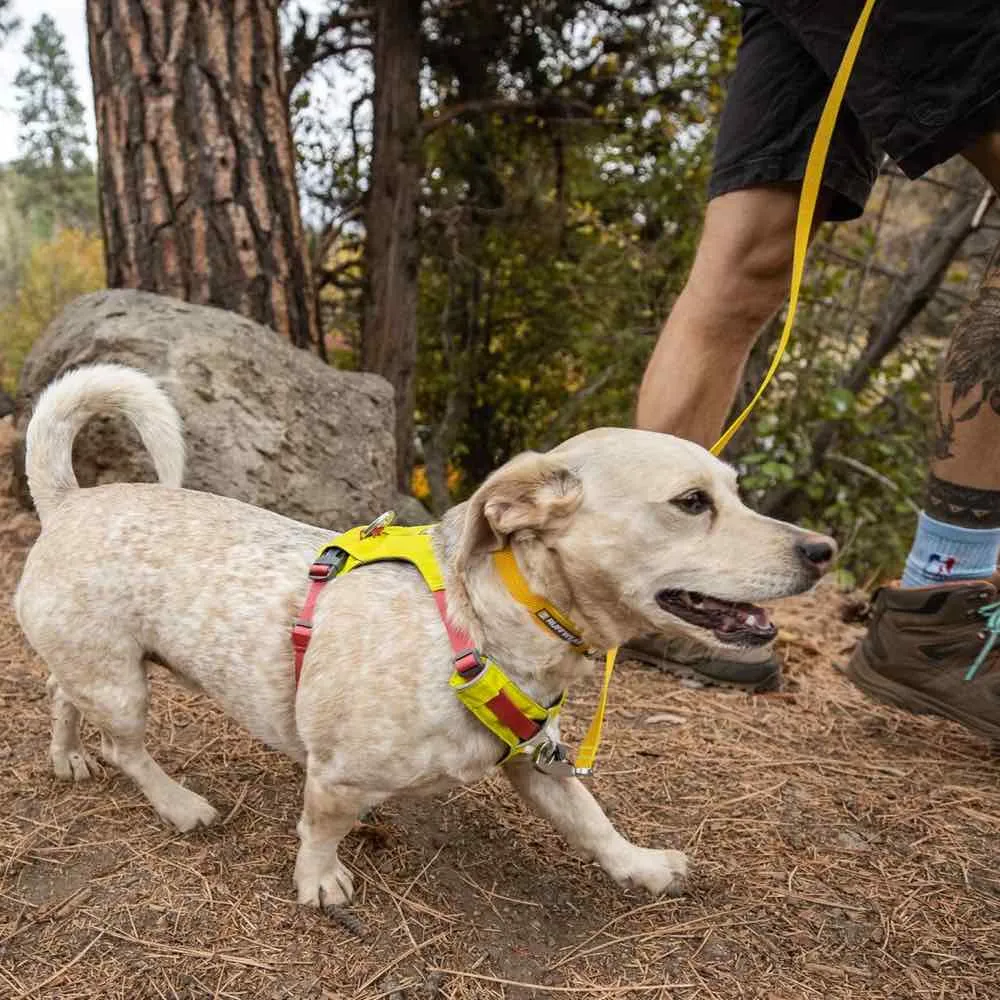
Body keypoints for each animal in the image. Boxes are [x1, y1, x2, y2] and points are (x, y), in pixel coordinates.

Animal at [15, 366, 836, 908]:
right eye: (692, 503)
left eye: (734, 491)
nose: (823, 550)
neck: (482, 626)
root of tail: (68, 502)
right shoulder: (339, 778)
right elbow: (319, 827)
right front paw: (319, 881)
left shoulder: (538, 764)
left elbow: (593, 822)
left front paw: (641, 866)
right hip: (122, 686)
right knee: (125, 746)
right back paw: (178, 803)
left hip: (96, 665)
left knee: (59, 694)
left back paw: (65, 757)